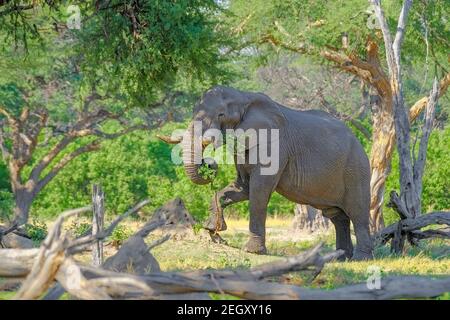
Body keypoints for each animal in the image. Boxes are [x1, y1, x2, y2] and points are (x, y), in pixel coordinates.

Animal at [160, 85, 374, 260]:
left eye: (221, 114)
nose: (208, 164)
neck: (243, 96)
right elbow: (241, 187)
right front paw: (213, 230)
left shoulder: (274, 144)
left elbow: (259, 190)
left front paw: (253, 251)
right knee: (337, 216)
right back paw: (341, 258)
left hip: (356, 169)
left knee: (358, 213)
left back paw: (360, 259)